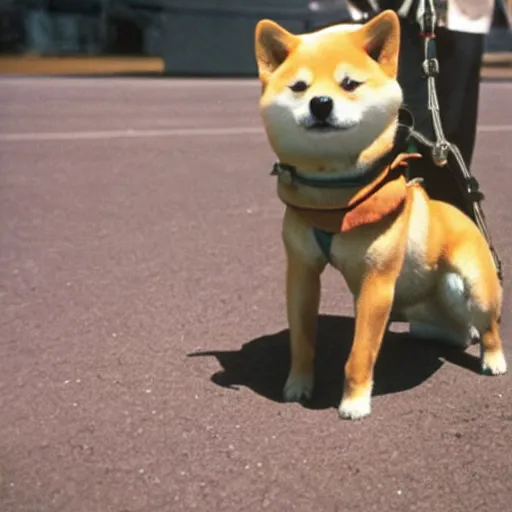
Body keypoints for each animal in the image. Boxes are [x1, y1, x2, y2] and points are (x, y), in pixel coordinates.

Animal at [254, 10, 506, 420]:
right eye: (298, 87)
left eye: (349, 84)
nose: (320, 102)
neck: (335, 197)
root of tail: (464, 214)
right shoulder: (302, 273)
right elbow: (302, 339)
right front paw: (298, 385)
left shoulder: (376, 284)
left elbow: (360, 354)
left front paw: (354, 403)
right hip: (425, 318)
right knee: (456, 332)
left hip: (478, 288)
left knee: (488, 328)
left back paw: (494, 359)